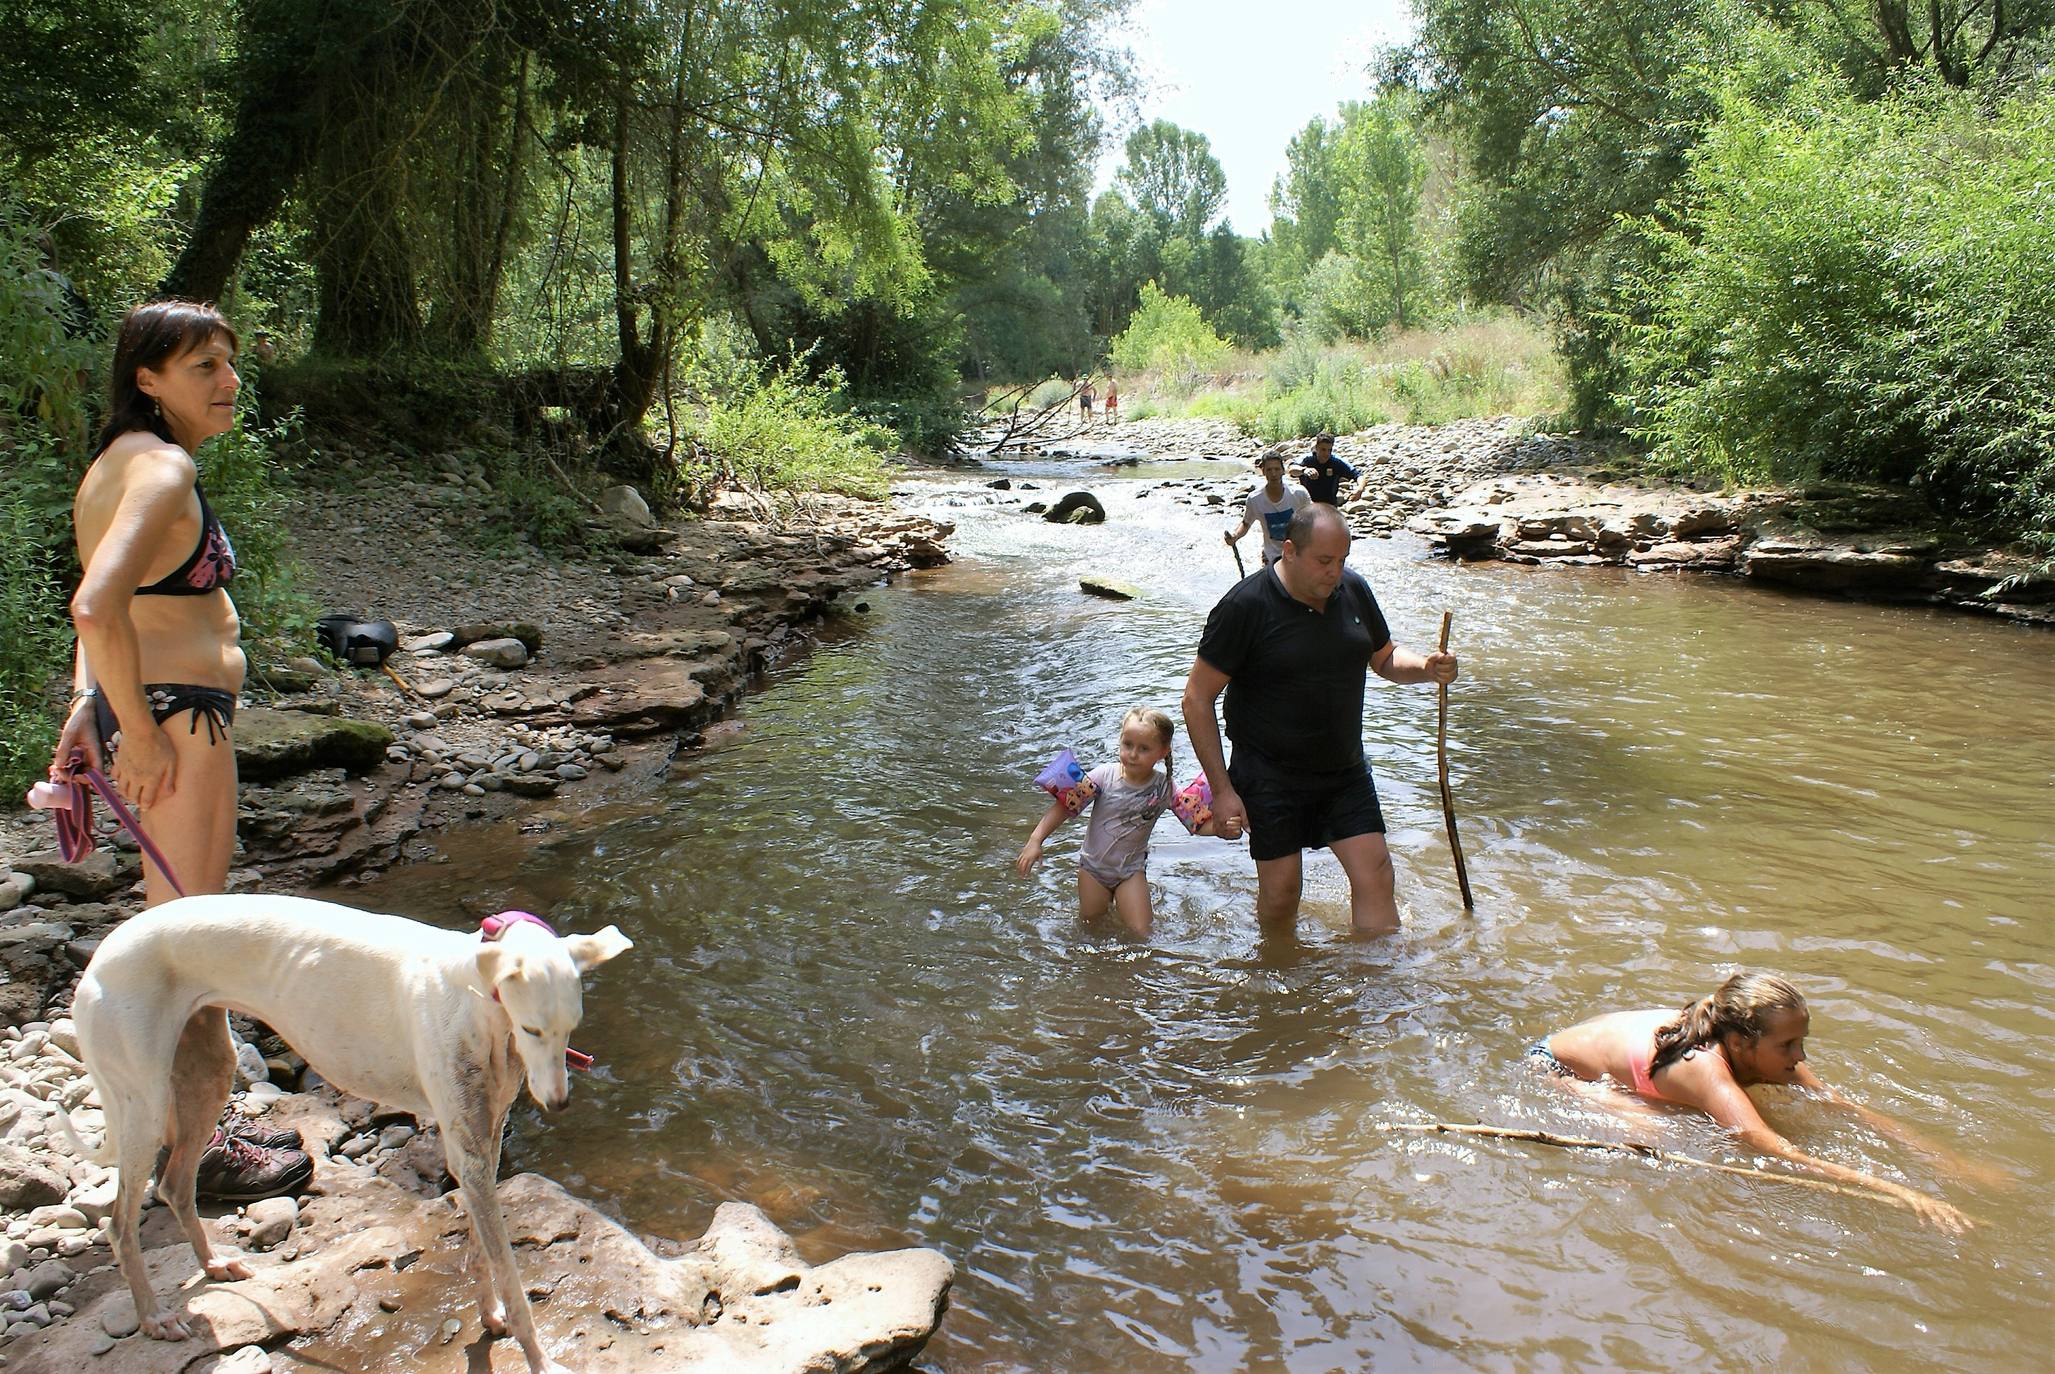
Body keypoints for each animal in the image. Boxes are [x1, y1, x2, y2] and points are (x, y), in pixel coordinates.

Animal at [68, 891, 628, 1371]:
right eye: (532, 1029)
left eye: (571, 1027)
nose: (558, 1103)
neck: (473, 994)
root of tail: (102, 955)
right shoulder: (468, 1151)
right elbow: (511, 1275)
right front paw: (539, 1359)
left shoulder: (483, 1142)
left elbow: (481, 1249)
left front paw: (490, 1316)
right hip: (143, 1104)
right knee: (120, 1224)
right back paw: (153, 1317)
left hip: (207, 1070)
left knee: (175, 1185)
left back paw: (214, 1266)